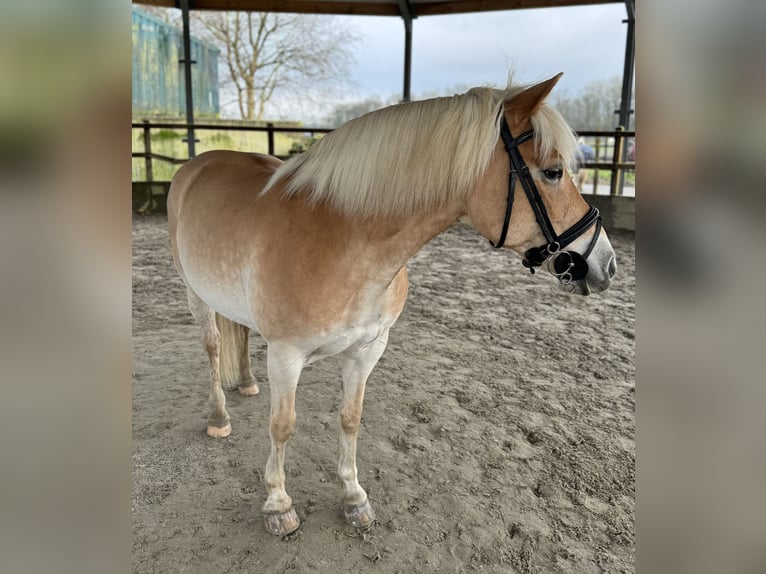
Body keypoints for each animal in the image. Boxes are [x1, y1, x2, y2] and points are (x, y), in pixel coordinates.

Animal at [166, 74, 616, 536]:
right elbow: (282, 426)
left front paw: (353, 497)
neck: (346, 245)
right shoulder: (287, 355)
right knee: (213, 348)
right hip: (195, 294)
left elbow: (351, 418)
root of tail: (197, 165)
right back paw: (218, 418)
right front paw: (278, 504)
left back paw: (247, 383)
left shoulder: (367, 350)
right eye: (553, 172)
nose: (605, 263)